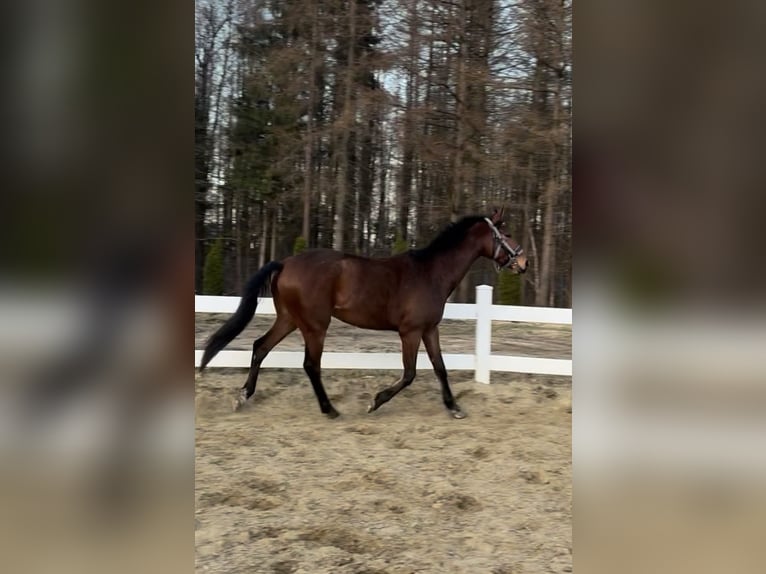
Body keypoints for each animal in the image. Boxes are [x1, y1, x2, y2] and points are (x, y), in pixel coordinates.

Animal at [199, 208, 527, 419]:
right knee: (310, 365)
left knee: (260, 347)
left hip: (290, 319)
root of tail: (285, 263)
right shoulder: (410, 332)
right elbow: (410, 374)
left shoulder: (429, 329)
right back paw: (330, 410)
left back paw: (243, 397)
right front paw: (375, 402)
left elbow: (440, 368)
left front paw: (454, 407)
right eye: (508, 232)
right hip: (315, 326)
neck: (431, 272)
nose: (523, 263)